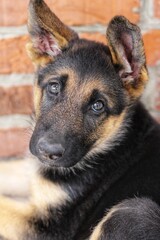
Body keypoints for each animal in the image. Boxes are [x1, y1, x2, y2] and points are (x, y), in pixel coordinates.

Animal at [0, 0, 160, 239]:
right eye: (54, 87)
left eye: (98, 106)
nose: (47, 152)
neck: (110, 145)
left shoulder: (50, 228)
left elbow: (3, 205)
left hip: (132, 211)